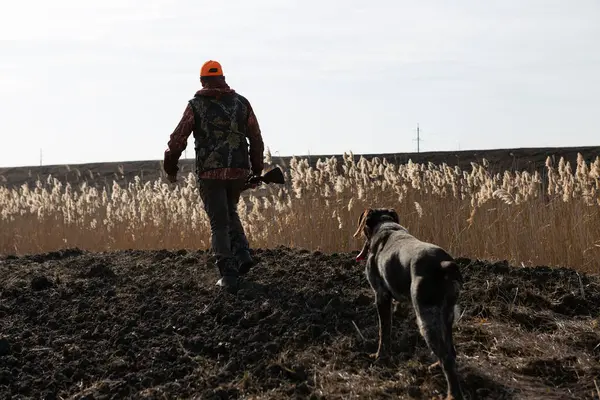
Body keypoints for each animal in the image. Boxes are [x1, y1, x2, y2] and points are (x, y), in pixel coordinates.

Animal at [354, 208, 466, 400]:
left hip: (427, 319)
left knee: (447, 358)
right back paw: (436, 366)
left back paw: (452, 394)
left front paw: (380, 356)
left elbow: (384, 332)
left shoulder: (381, 295)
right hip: (447, 315)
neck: (386, 226)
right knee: (450, 350)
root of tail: (444, 264)